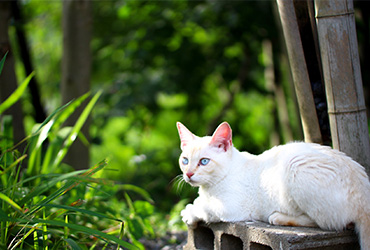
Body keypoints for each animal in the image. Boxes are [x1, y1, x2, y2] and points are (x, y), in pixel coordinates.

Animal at [176, 122, 370, 249]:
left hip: (295, 167)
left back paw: (278, 217)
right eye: (185, 160)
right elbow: (200, 202)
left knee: (329, 223)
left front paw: (188, 213)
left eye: (204, 161)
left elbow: (204, 209)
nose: (189, 174)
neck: (209, 189)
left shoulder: (229, 208)